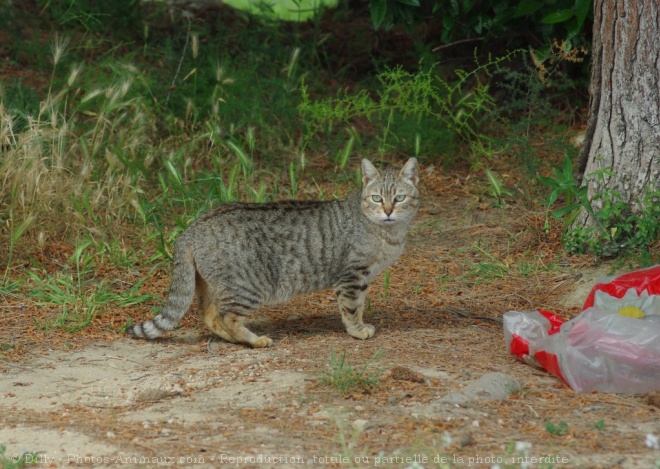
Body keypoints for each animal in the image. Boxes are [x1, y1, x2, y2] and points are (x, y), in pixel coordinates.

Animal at [126, 159, 420, 346]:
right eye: (377, 198)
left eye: (399, 198)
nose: (388, 211)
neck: (388, 232)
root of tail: (191, 228)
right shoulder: (351, 276)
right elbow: (351, 308)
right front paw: (357, 331)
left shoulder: (363, 277)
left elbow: (359, 306)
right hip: (248, 286)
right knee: (225, 315)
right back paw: (254, 340)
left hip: (210, 284)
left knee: (209, 315)